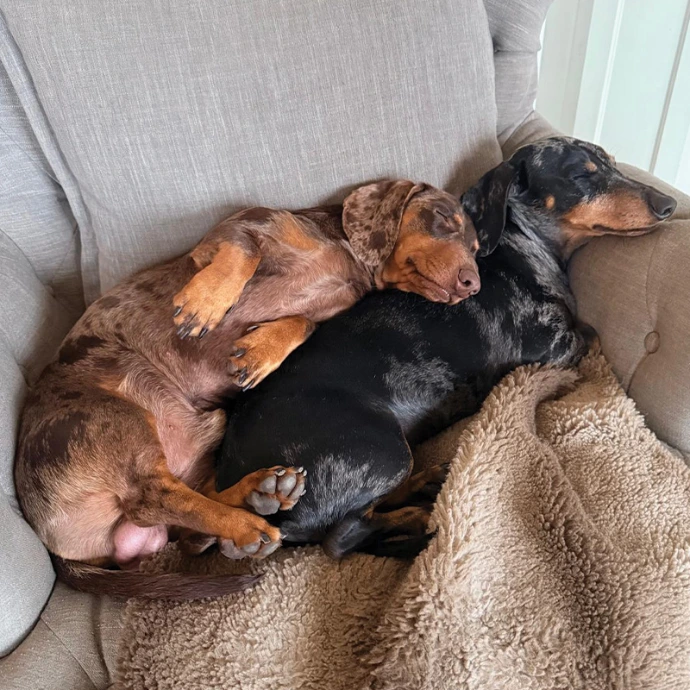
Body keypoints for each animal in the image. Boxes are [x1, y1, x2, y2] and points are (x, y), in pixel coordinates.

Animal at [15, 179, 487, 599]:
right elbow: (244, 252)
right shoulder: (238, 228)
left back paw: (262, 493)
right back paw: (249, 522)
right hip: (113, 416)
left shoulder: (324, 315)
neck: (346, 255)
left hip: (207, 429)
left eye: (477, 248)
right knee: (153, 497)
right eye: (442, 218)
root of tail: (53, 543)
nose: (473, 284)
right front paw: (207, 302)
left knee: (185, 520)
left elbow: (303, 322)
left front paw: (261, 350)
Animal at [206, 137, 677, 559]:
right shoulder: (558, 347)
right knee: (343, 537)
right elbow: (591, 334)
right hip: (382, 450)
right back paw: (418, 517)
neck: (524, 250)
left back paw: (424, 485)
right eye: (582, 175)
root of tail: (248, 492)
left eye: (612, 162)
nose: (669, 204)